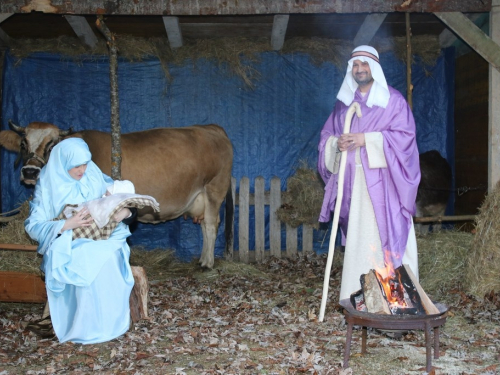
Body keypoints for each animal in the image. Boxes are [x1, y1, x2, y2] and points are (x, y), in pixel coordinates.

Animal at [0, 120, 234, 268]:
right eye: (23, 143)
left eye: (52, 145)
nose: (30, 172)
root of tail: (212, 128)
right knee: (206, 225)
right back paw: (202, 259)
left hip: (215, 187)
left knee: (211, 225)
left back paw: (207, 264)